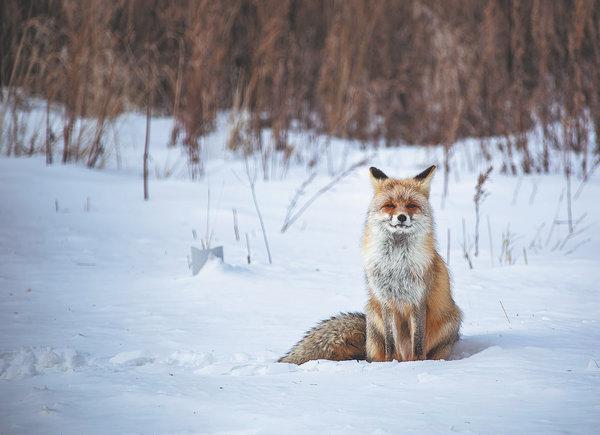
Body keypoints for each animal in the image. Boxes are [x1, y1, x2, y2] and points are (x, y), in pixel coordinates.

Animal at [278, 165, 462, 366]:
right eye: (390, 205)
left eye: (411, 205)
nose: (402, 217)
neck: (397, 264)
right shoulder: (385, 300)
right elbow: (390, 342)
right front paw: (390, 363)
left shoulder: (418, 299)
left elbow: (418, 342)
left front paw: (417, 364)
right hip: (373, 314)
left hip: (450, 321)